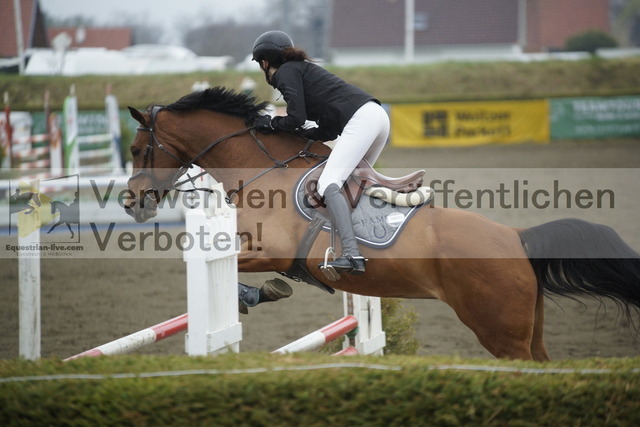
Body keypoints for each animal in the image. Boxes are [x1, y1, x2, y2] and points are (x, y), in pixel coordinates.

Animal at [125, 87, 640, 362]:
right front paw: (262, 294)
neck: (261, 168)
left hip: (500, 332)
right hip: (527, 329)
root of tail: (517, 238)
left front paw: (258, 293)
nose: (132, 203)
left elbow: (239, 274)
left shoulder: (269, 250)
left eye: (134, 148)